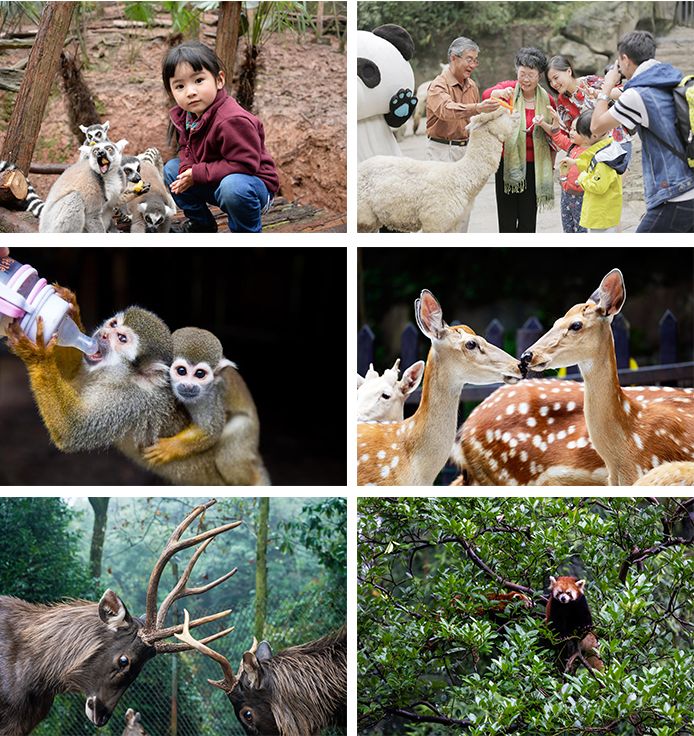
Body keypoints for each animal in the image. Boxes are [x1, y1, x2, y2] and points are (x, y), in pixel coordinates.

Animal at [144, 330, 270, 488]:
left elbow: (210, 431)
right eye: (181, 371)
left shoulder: (211, 396)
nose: (188, 386)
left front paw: (170, 448)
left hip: (248, 434)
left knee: (228, 459)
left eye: (200, 374)